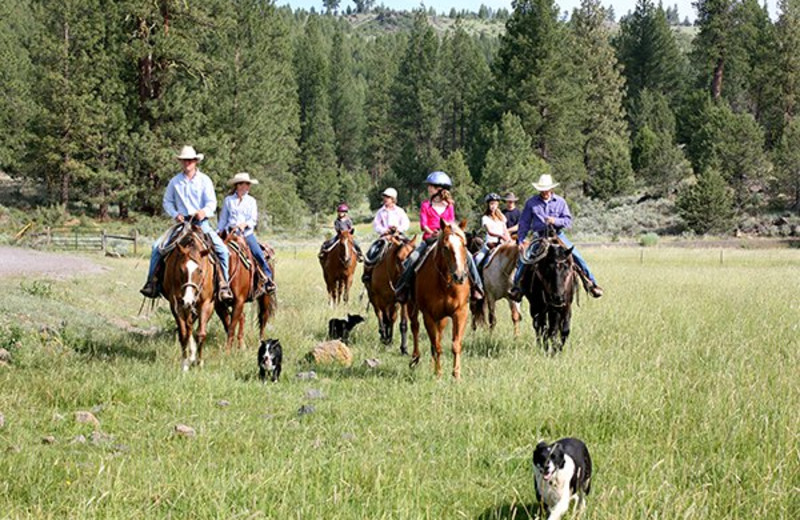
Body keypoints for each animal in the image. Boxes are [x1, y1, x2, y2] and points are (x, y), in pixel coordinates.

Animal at [161, 223, 217, 370]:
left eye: (200, 270)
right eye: (181, 270)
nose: (188, 300)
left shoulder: (206, 303)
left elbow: (201, 333)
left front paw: (199, 362)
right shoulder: (176, 304)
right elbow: (183, 334)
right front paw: (185, 363)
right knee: (189, 327)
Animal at [410, 218, 472, 378]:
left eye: (464, 244)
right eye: (445, 247)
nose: (459, 276)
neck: (445, 283)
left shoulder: (460, 312)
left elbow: (455, 344)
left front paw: (456, 374)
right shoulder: (428, 315)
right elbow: (437, 345)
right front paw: (438, 374)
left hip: (442, 318)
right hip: (411, 307)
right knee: (415, 327)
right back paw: (415, 358)